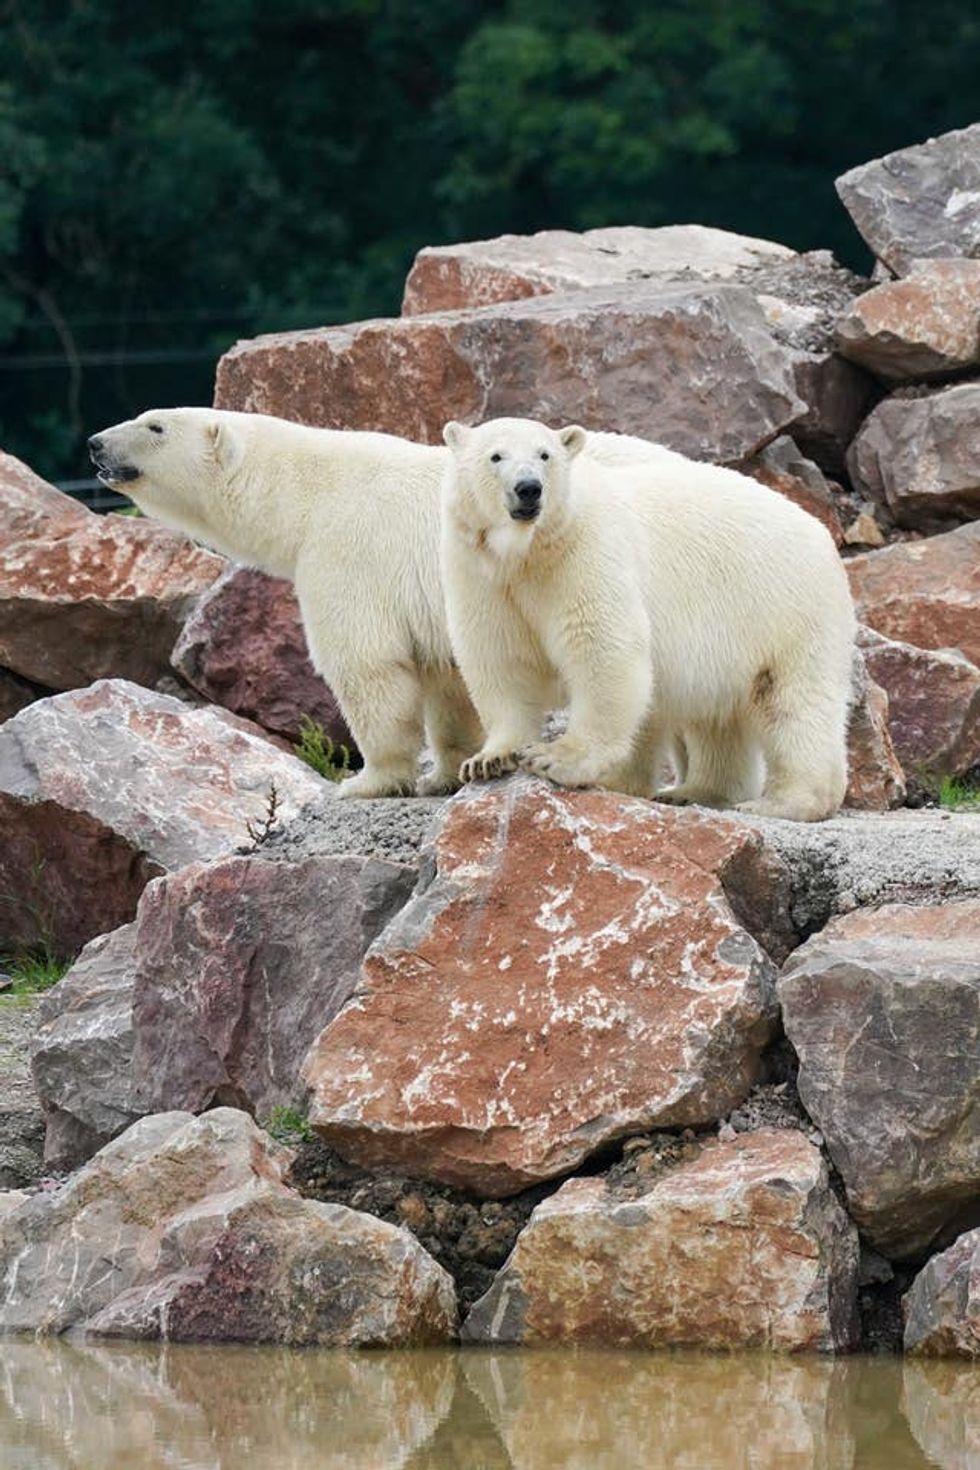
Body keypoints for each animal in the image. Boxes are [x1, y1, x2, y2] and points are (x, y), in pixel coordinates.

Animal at [88, 407, 662, 799]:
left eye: (155, 427)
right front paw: (446, 775)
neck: (306, 495)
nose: (95, 443)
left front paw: (365, 783)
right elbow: (445, 680)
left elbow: (368, 665)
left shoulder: (349, 553)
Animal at [441, 416, 857, 822]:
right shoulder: (483, 575)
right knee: (716, 718)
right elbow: (500, 658)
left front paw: (555, 758)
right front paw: (489, 759)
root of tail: (822, 535)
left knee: (791, 703)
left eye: (545, 455)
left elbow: (602, 646)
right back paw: (694, 791)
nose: (529, 488)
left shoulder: (585, 552)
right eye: (496, 456)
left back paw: (783, 802)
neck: (528, 551)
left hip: (787, 611)